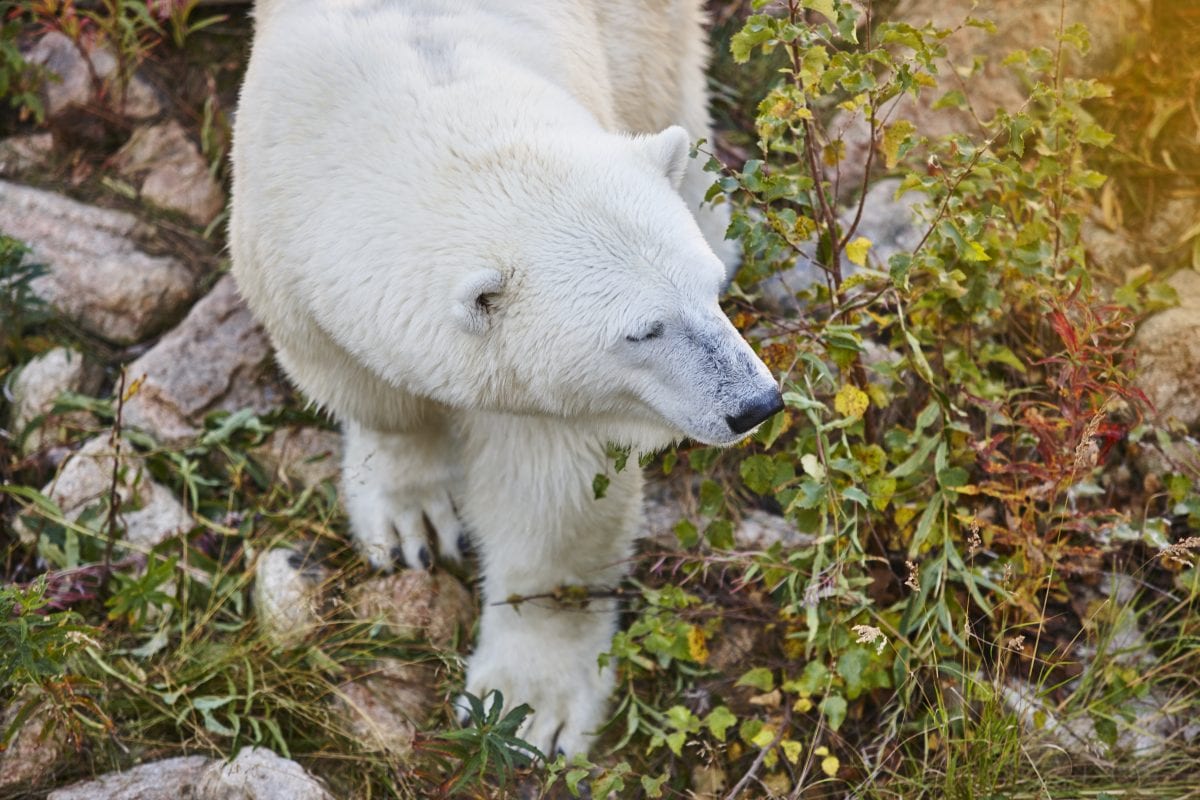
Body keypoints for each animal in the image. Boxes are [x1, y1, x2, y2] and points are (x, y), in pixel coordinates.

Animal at [230, 0, 783, 757]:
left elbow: (553, 499)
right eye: (643, 330)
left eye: (705, 294)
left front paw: (530, 705)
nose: (755, 404)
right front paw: (410, 520)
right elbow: (374, 398)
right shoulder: (280, 254)